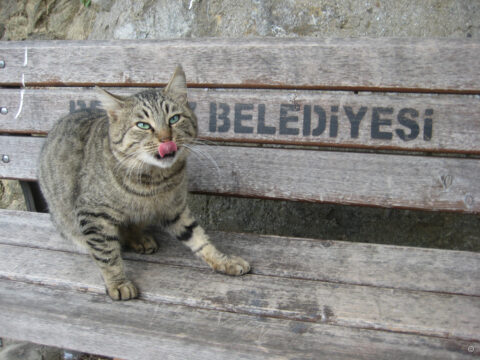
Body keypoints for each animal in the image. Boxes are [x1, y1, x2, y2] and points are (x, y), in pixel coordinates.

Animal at [39, 66, 249, 300]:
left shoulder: (174, 208)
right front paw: (118, 282)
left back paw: (139, 239)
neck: (154, 180)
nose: (166, 139)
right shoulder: (92, 212)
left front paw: (223, 260)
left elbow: (197, 237)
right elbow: (106, 254)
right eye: (143, 125)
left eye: (174, 119)